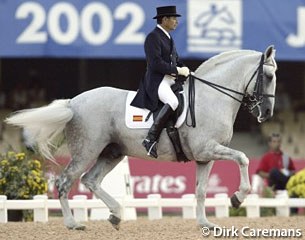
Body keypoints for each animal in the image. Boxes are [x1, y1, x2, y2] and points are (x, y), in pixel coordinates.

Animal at [5, 45, 276, 231]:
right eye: (270, 76)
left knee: (90, 180)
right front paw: (237, 198)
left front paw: (205, 223)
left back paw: (116, 215)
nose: (267, 113)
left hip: (112, 152)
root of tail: (73, 102)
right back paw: (74, 224)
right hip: (87, 151)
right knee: (65, 181)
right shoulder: (208, 148)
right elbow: (243, 158)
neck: (212, 97)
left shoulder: (204, 157)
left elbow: (200, 191)